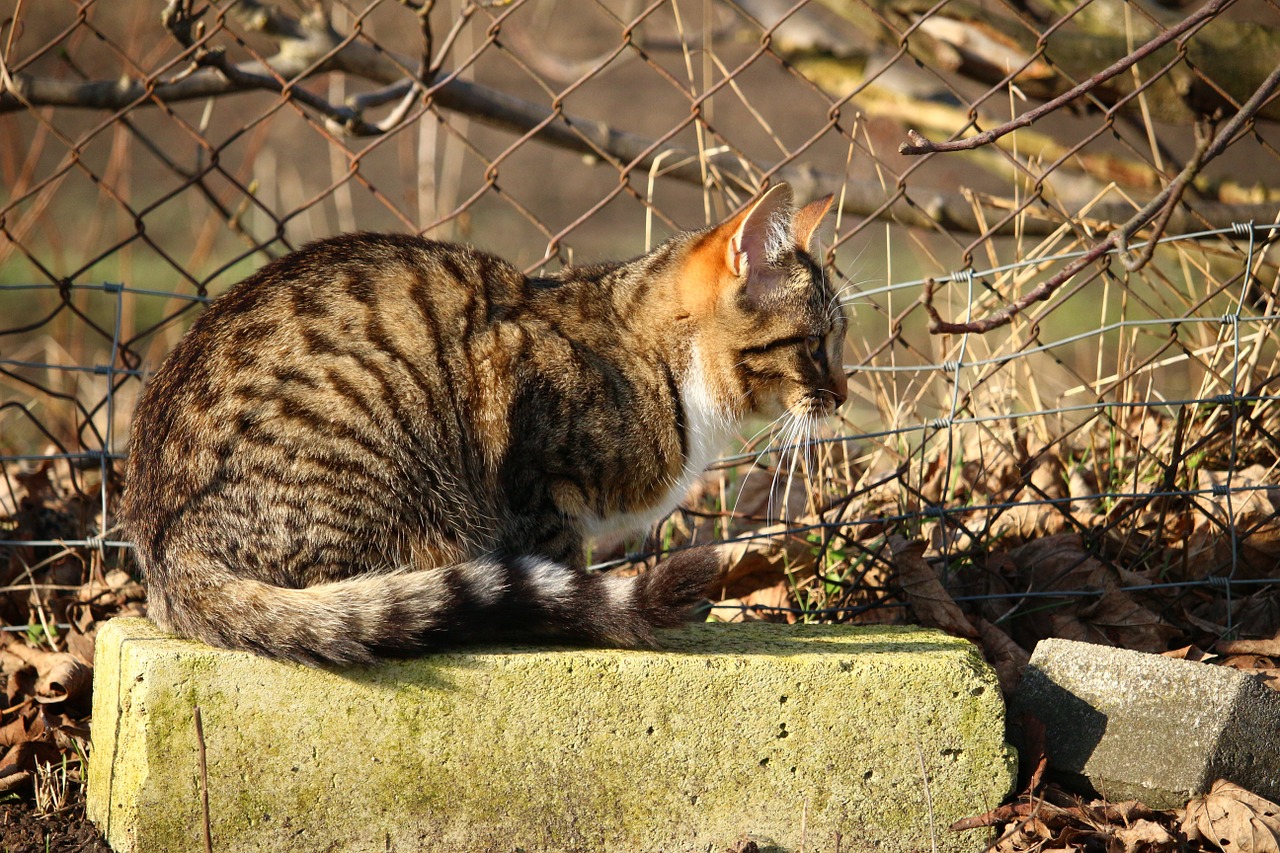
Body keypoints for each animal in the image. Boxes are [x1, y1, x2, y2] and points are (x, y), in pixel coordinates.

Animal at [122, 184, 849, 666]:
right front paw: (579, 606)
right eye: (817, 345)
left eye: (839, 340)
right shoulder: (528, 442)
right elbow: (557, 552)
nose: (842, 395)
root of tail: (164, 555)